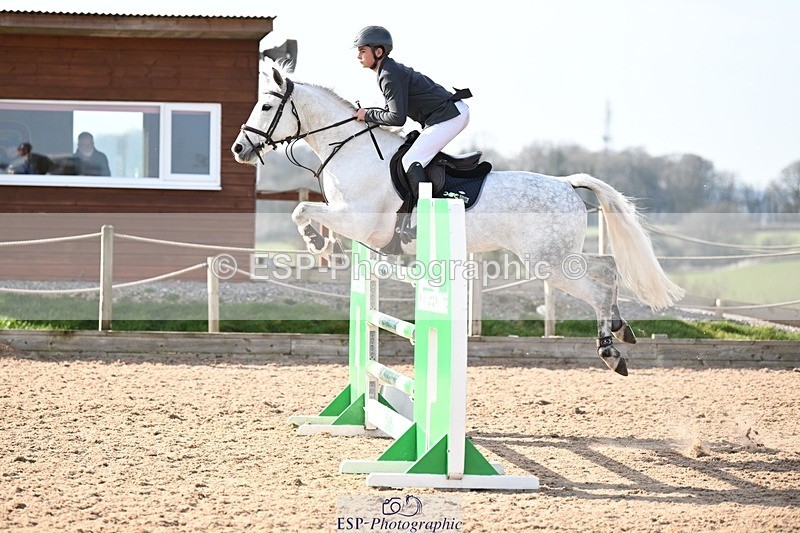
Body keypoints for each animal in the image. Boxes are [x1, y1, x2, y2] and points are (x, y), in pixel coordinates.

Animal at [231, 66, 685, 376]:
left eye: (267, 106)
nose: (238, 148)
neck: (350, 149)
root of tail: (567, 184)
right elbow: (306, 212)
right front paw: (326, 249)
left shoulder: (359, 222)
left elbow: (302, 212)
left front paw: (321, 247)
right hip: (557, 258)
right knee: (607, 269)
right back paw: (622, 331)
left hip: (548, 263)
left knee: (598, 285)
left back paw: (610, 350)